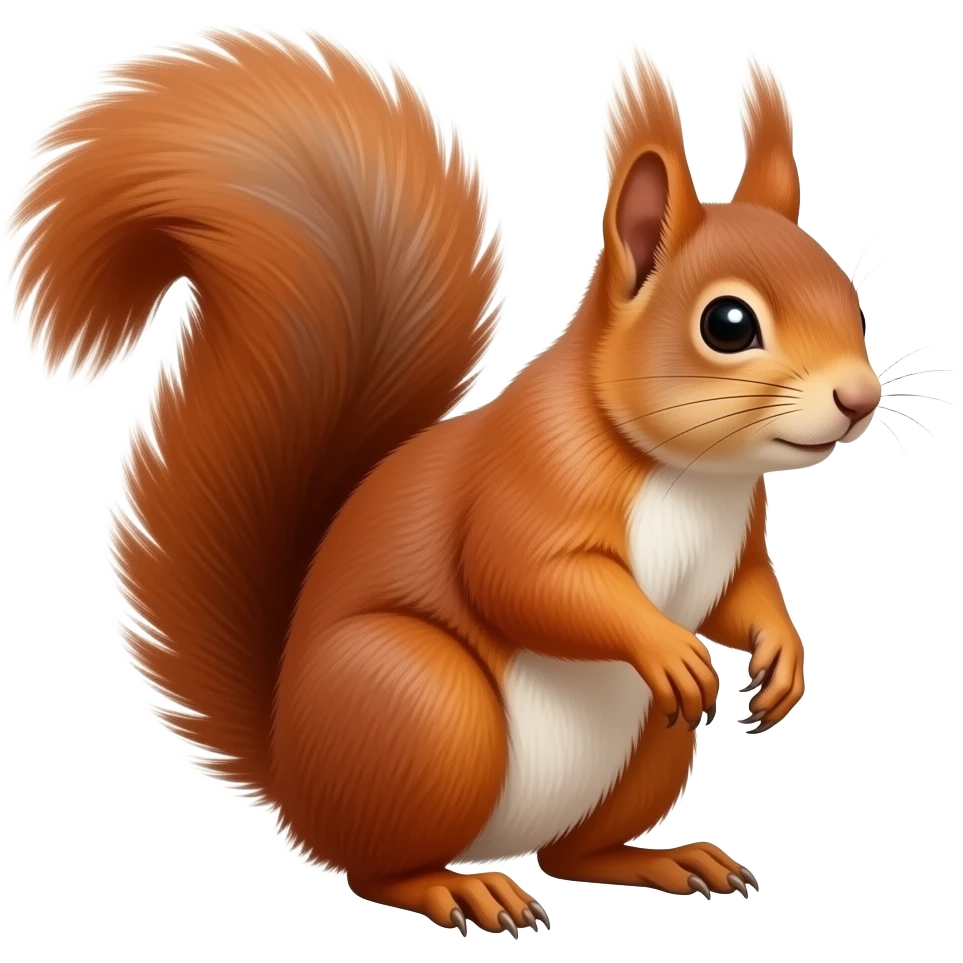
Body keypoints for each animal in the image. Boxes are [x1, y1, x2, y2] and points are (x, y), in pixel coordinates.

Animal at [7, 26, 881, 934]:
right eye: (727, 323)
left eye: (855, 307)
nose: (859, 398)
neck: (691, 475)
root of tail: (293, 778)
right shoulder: (530, 476)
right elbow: (526, 578)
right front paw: (666, 644)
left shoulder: (739, 536)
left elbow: (741, 595)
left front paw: (784, 655)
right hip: (423, 703)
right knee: (376, 867)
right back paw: (456, 886)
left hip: (648, 742)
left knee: (573, 855)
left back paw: (661, 858)